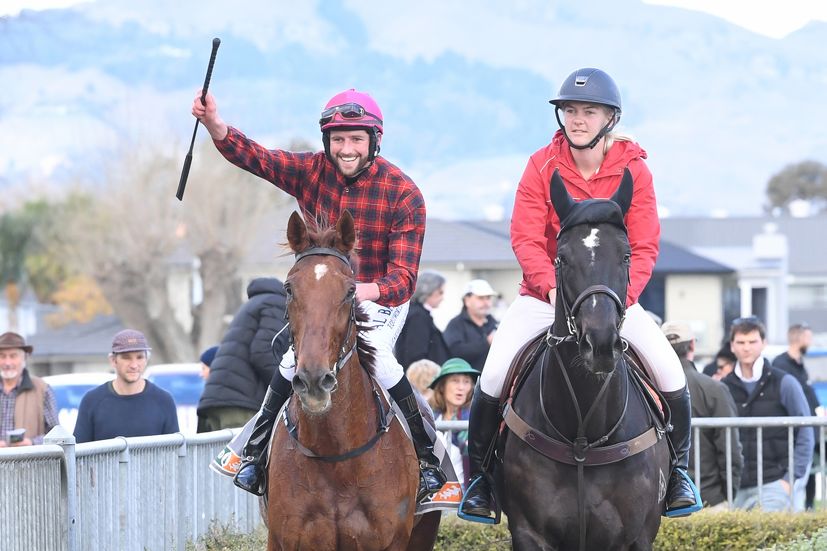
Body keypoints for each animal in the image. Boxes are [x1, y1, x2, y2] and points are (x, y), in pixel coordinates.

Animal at [268, 209, 444, 548]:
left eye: (350, 291)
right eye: (288, 288)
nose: (313, 380)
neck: (336, 457)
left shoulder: (391, 540)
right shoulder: (286, 537)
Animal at [498, 170, 672, 548]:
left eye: (626, 256)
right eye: (561, 258)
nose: (601, 343)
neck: (583, 437)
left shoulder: (635, 537)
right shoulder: (528, 533)